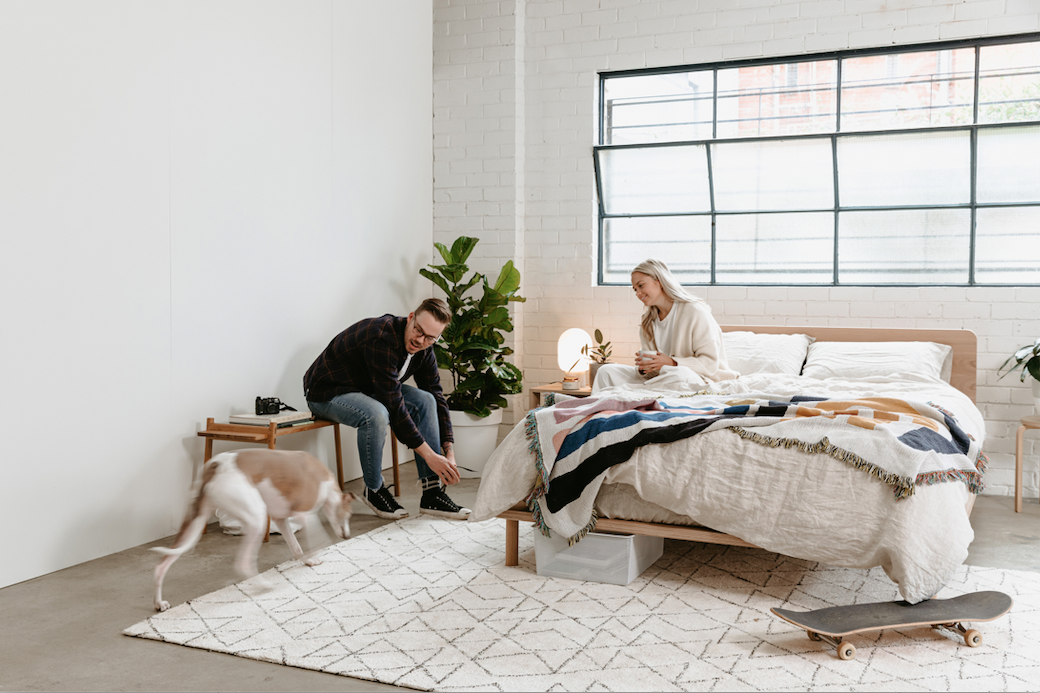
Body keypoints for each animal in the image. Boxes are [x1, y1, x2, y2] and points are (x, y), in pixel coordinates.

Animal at [152, 447, 357, 611]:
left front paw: (308, 561)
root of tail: (217, 465)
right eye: (349, 515)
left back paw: (159, 603)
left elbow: (297, 548)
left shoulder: (281, 519)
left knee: (162, 565)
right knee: (243, 564)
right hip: (256, 517)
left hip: (195, 521)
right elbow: (320, 541)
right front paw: (316, 559)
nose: (348, 536)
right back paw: (264, 585)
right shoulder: (306, 515)